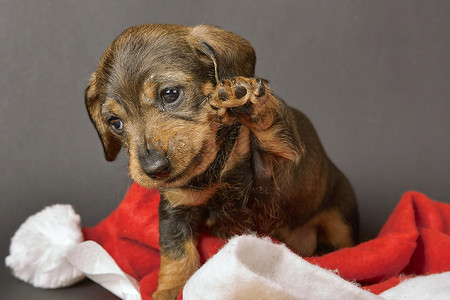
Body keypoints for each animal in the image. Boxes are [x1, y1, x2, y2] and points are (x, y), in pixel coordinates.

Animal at [84, 24, 358, 300]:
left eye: (170, 94)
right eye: (115, 123)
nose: (154, 169)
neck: (216, 167)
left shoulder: (285, 158)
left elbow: (272, 129)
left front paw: (247, 100)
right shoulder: (176, 210)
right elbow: (176, 254)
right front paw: (169, 289)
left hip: (340, 218)